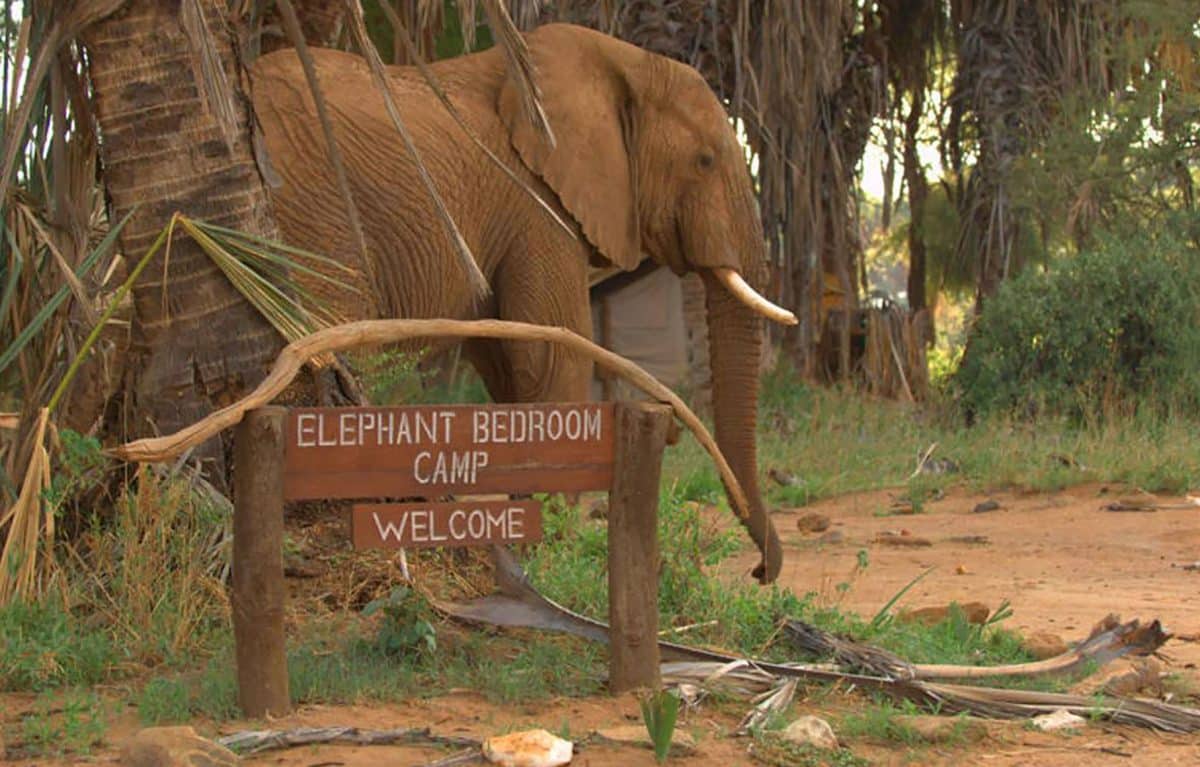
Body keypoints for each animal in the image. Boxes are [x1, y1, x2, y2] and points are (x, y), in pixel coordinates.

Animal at [249, 22, 792, 580]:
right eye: (705, 161)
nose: (760, 571)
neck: (621, 60)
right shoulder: (538, 206)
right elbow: (552, 359)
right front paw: (551, 551)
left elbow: (510, 369)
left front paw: (525, 544)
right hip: (315, 215)